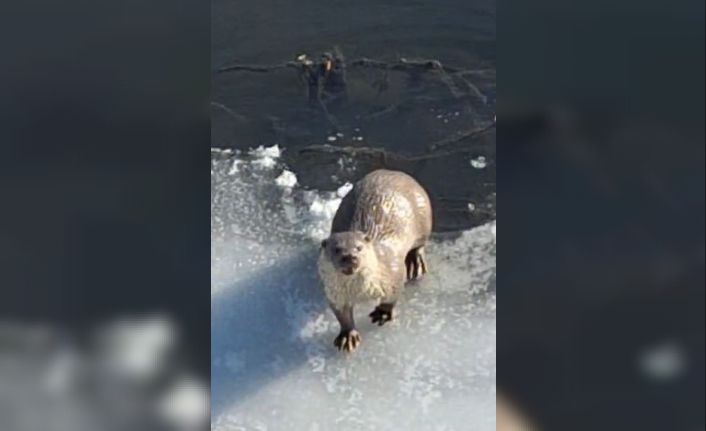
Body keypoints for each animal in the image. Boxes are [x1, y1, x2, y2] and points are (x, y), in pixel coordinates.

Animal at [318, 170, 428, 352]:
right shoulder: (334, 293)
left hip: (423, 215)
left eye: (359, 247)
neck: (360, 292)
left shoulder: (393, 270)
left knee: (420, 244)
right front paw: (347, 335)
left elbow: (393, 295)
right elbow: (342, 314)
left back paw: (415, 262)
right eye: (337, 249)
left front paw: (382, 313)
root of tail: (393, 172)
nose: (350, 257)